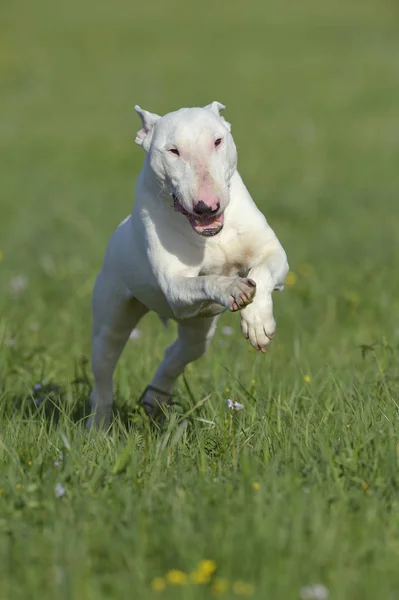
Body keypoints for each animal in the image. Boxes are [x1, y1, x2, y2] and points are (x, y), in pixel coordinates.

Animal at [88, 103, 288, 428]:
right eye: (173, 151)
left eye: (217, 141)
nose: (206, 206)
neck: (212, 236)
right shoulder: (175, 286)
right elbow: (206, 279)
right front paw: (232, 288)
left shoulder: (273, 253)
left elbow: (262, 271)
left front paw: (257, 323)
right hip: (111, 317)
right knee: (104, 368)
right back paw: (98, 426)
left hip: (198, 327)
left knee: (180, 352)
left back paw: (155, 398)